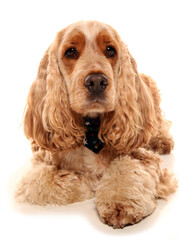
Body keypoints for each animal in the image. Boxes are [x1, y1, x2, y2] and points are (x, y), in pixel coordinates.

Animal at [15, 20, 177, 229]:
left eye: (110, 50)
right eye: (70, 52)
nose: (97, 81)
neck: (91, 129)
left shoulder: (144, 157)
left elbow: (128, 168)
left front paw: (119, 204)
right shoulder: (38, 166)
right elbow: (45, 181)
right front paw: (90, 180)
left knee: (159, 122)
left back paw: (161, 140)